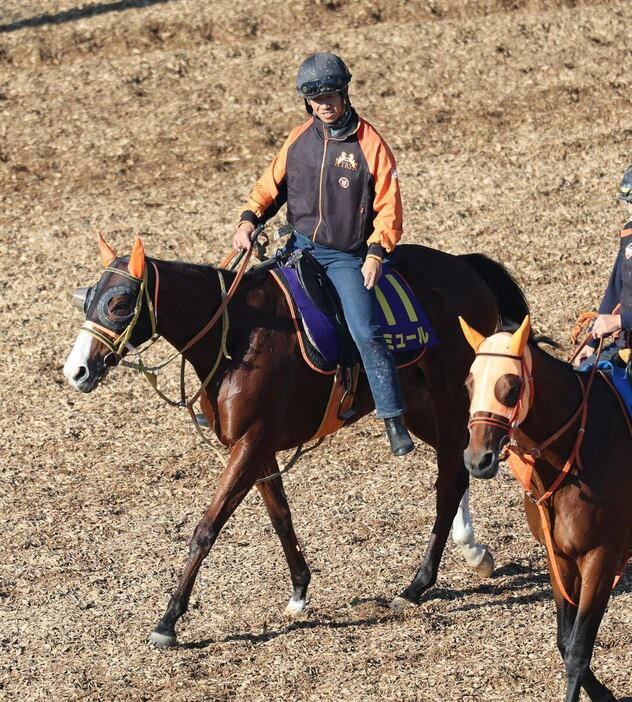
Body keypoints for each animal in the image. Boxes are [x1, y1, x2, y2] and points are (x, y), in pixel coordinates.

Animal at [63, 234, 528, 648]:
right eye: (87, 299)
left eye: (119, 303)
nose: (76, 370)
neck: (238, 336)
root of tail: (464, 266)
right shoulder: (258, 447)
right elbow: (281, 517)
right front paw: (300, 590)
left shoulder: (250, 444)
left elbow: (206, 529)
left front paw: (168, 621)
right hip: (418, 407)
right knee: (457, 468)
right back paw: (471, 554)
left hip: (448, 399)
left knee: (451, 480)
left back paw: (418, 584)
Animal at [460, 318, 632, 702]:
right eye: (469, 383)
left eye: (511, 386)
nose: (478, 459)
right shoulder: (560, 558)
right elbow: (565, 642)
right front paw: (603, 694)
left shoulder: (600, 557)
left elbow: (579, 649)